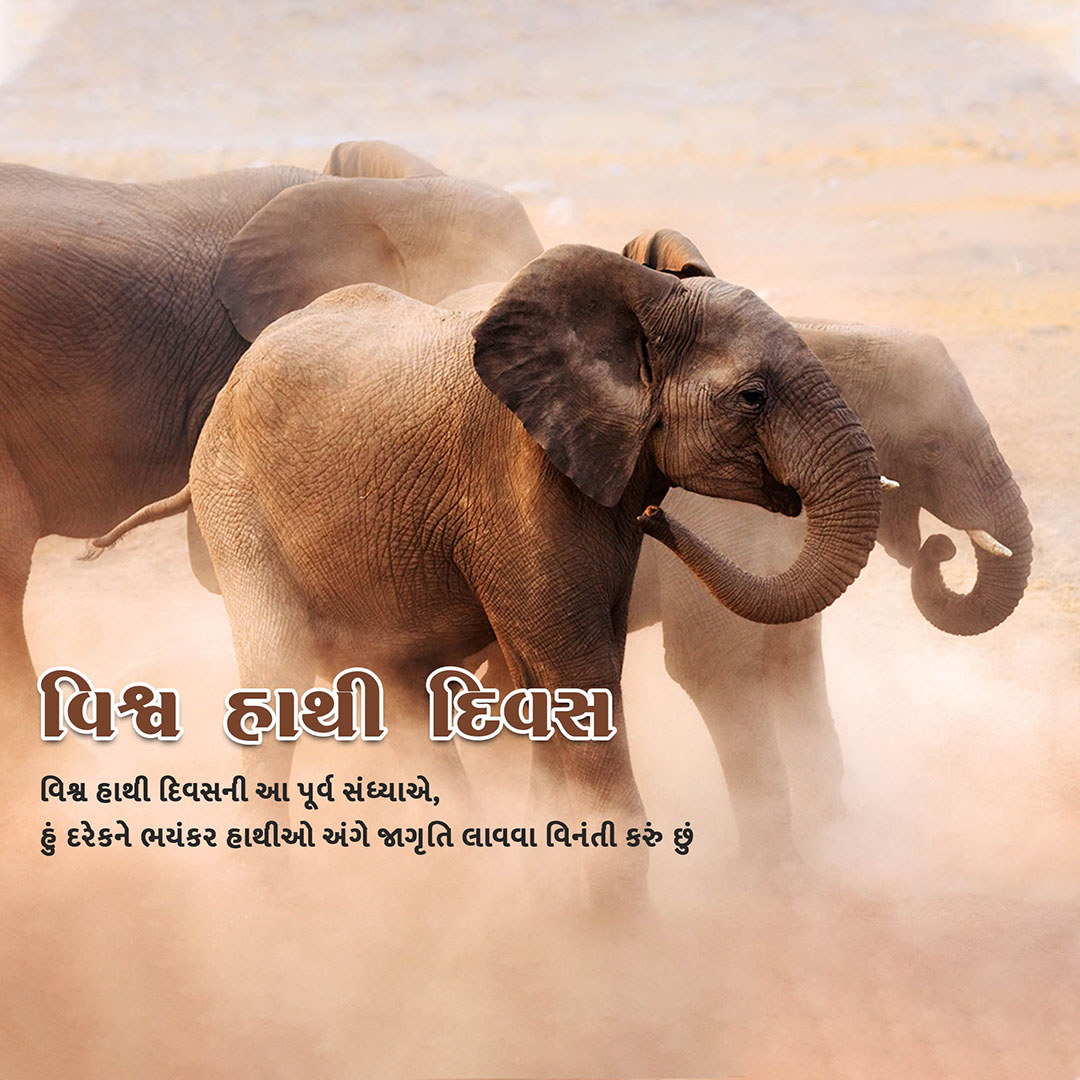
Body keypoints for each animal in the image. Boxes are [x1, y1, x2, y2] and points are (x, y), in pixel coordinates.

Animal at [92, 244, 883, 899]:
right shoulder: (513, 484)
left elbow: (566, 676)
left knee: (396, 690)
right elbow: (572, 665)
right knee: (277, 667)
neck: (637, 296)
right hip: (234, 502)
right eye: (753, 396)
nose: (658, 517)